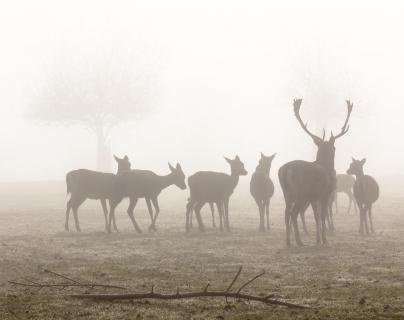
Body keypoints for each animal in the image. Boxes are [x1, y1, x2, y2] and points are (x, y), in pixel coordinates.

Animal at [278, 99, 354, 246]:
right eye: (334, 147)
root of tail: (287, 170)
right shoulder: (325, 193)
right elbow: (323, 215)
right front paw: (324, 239)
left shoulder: (314, 197)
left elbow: (316, 216)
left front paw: (318, 239)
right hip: (301, 193)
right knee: (294, 213)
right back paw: (299, 241)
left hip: (287, 193)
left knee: (286, 212)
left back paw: (288, 241)